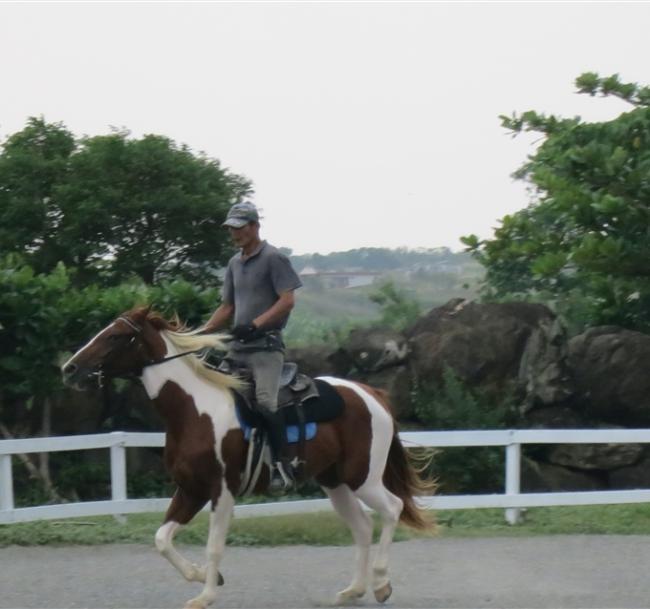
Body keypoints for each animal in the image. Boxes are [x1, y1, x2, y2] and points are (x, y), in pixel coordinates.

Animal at [62, 306, 436, 608]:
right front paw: (203, 576)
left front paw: (206, 595)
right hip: (334, 481)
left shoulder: (222, 490)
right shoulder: (190, 490)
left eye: (115, 336)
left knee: (392, 509)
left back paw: (381, 584)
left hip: (363, 477)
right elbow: (162, 539)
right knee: (362, 526)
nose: (70, 368)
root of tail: (370, 393)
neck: (193, 410)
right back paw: (353, 590)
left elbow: (214, 545)